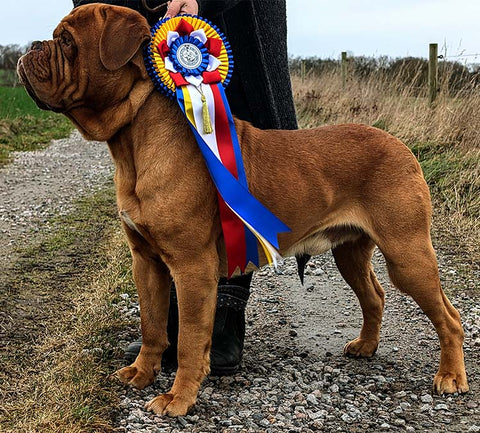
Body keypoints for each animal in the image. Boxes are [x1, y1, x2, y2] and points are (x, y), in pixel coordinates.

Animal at [17, 3, 468, 416]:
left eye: (67, 41)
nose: (30, 47)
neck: (132, 141)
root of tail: (403, 147)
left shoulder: (192, 267)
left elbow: (188, 342)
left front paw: (178, 399)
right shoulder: (146, 262)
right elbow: (152, 325)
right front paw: (142, 373)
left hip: (407, 254)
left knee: (450, 317)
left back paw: (450, 376)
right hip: (351, 252)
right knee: (375, 295)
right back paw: (367, 347)